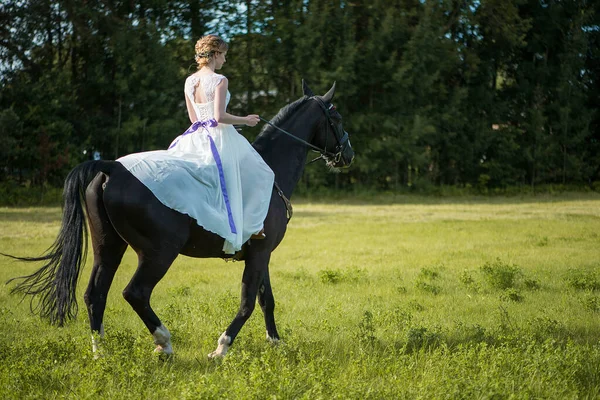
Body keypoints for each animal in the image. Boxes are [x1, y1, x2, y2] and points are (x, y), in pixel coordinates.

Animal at [7, 79, 354, 358]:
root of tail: (112, 168)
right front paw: (221, 348)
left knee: (95, 294)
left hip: (109, 247)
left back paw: (101, 352)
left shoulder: (261, 253)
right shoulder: (258, 255)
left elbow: (266, 299)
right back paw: (164, 343)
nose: (348, 155)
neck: (270, 173)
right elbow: (247, 302)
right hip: (159, 253)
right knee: (135, 293)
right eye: (336, 117)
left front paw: (276, 342)